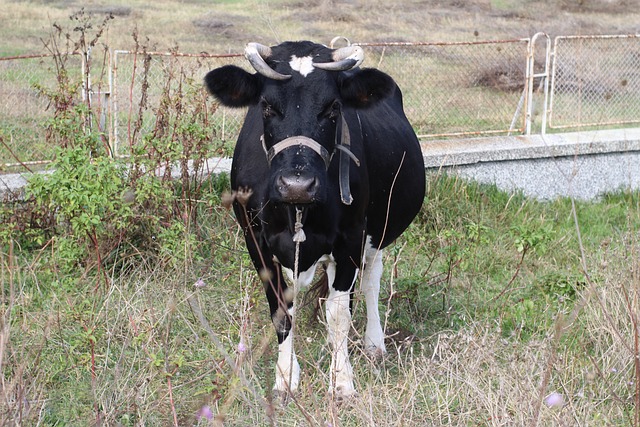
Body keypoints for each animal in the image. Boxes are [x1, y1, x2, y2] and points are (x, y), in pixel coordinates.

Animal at [205, 40, 424, 402]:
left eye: (333, 108)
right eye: (266, 106)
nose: (297, 185)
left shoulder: (351, 239)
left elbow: (339, 315)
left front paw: (342, 381)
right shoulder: (255, 241)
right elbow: (281, 311)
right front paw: (285, 378)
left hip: (379, 231)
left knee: (369, 282)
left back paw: (373, 343)